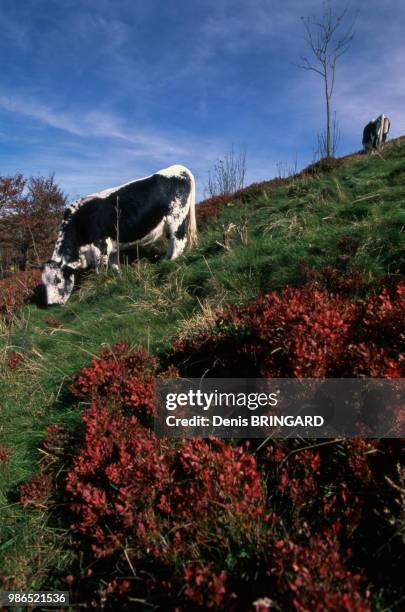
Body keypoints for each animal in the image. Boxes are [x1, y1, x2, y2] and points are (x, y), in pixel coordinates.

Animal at [41, 165, 196, 306]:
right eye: (44, 282)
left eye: (58, 280)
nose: (51, 304)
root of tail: (180, 168)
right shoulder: (112, 247)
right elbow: (115, 266)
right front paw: (120, 279)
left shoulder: (100, 246)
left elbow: (101, 271)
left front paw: (100, 286)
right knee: (172, 242)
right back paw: (165, 261)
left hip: (176, 218)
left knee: (179, 241)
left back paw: (171, 263)